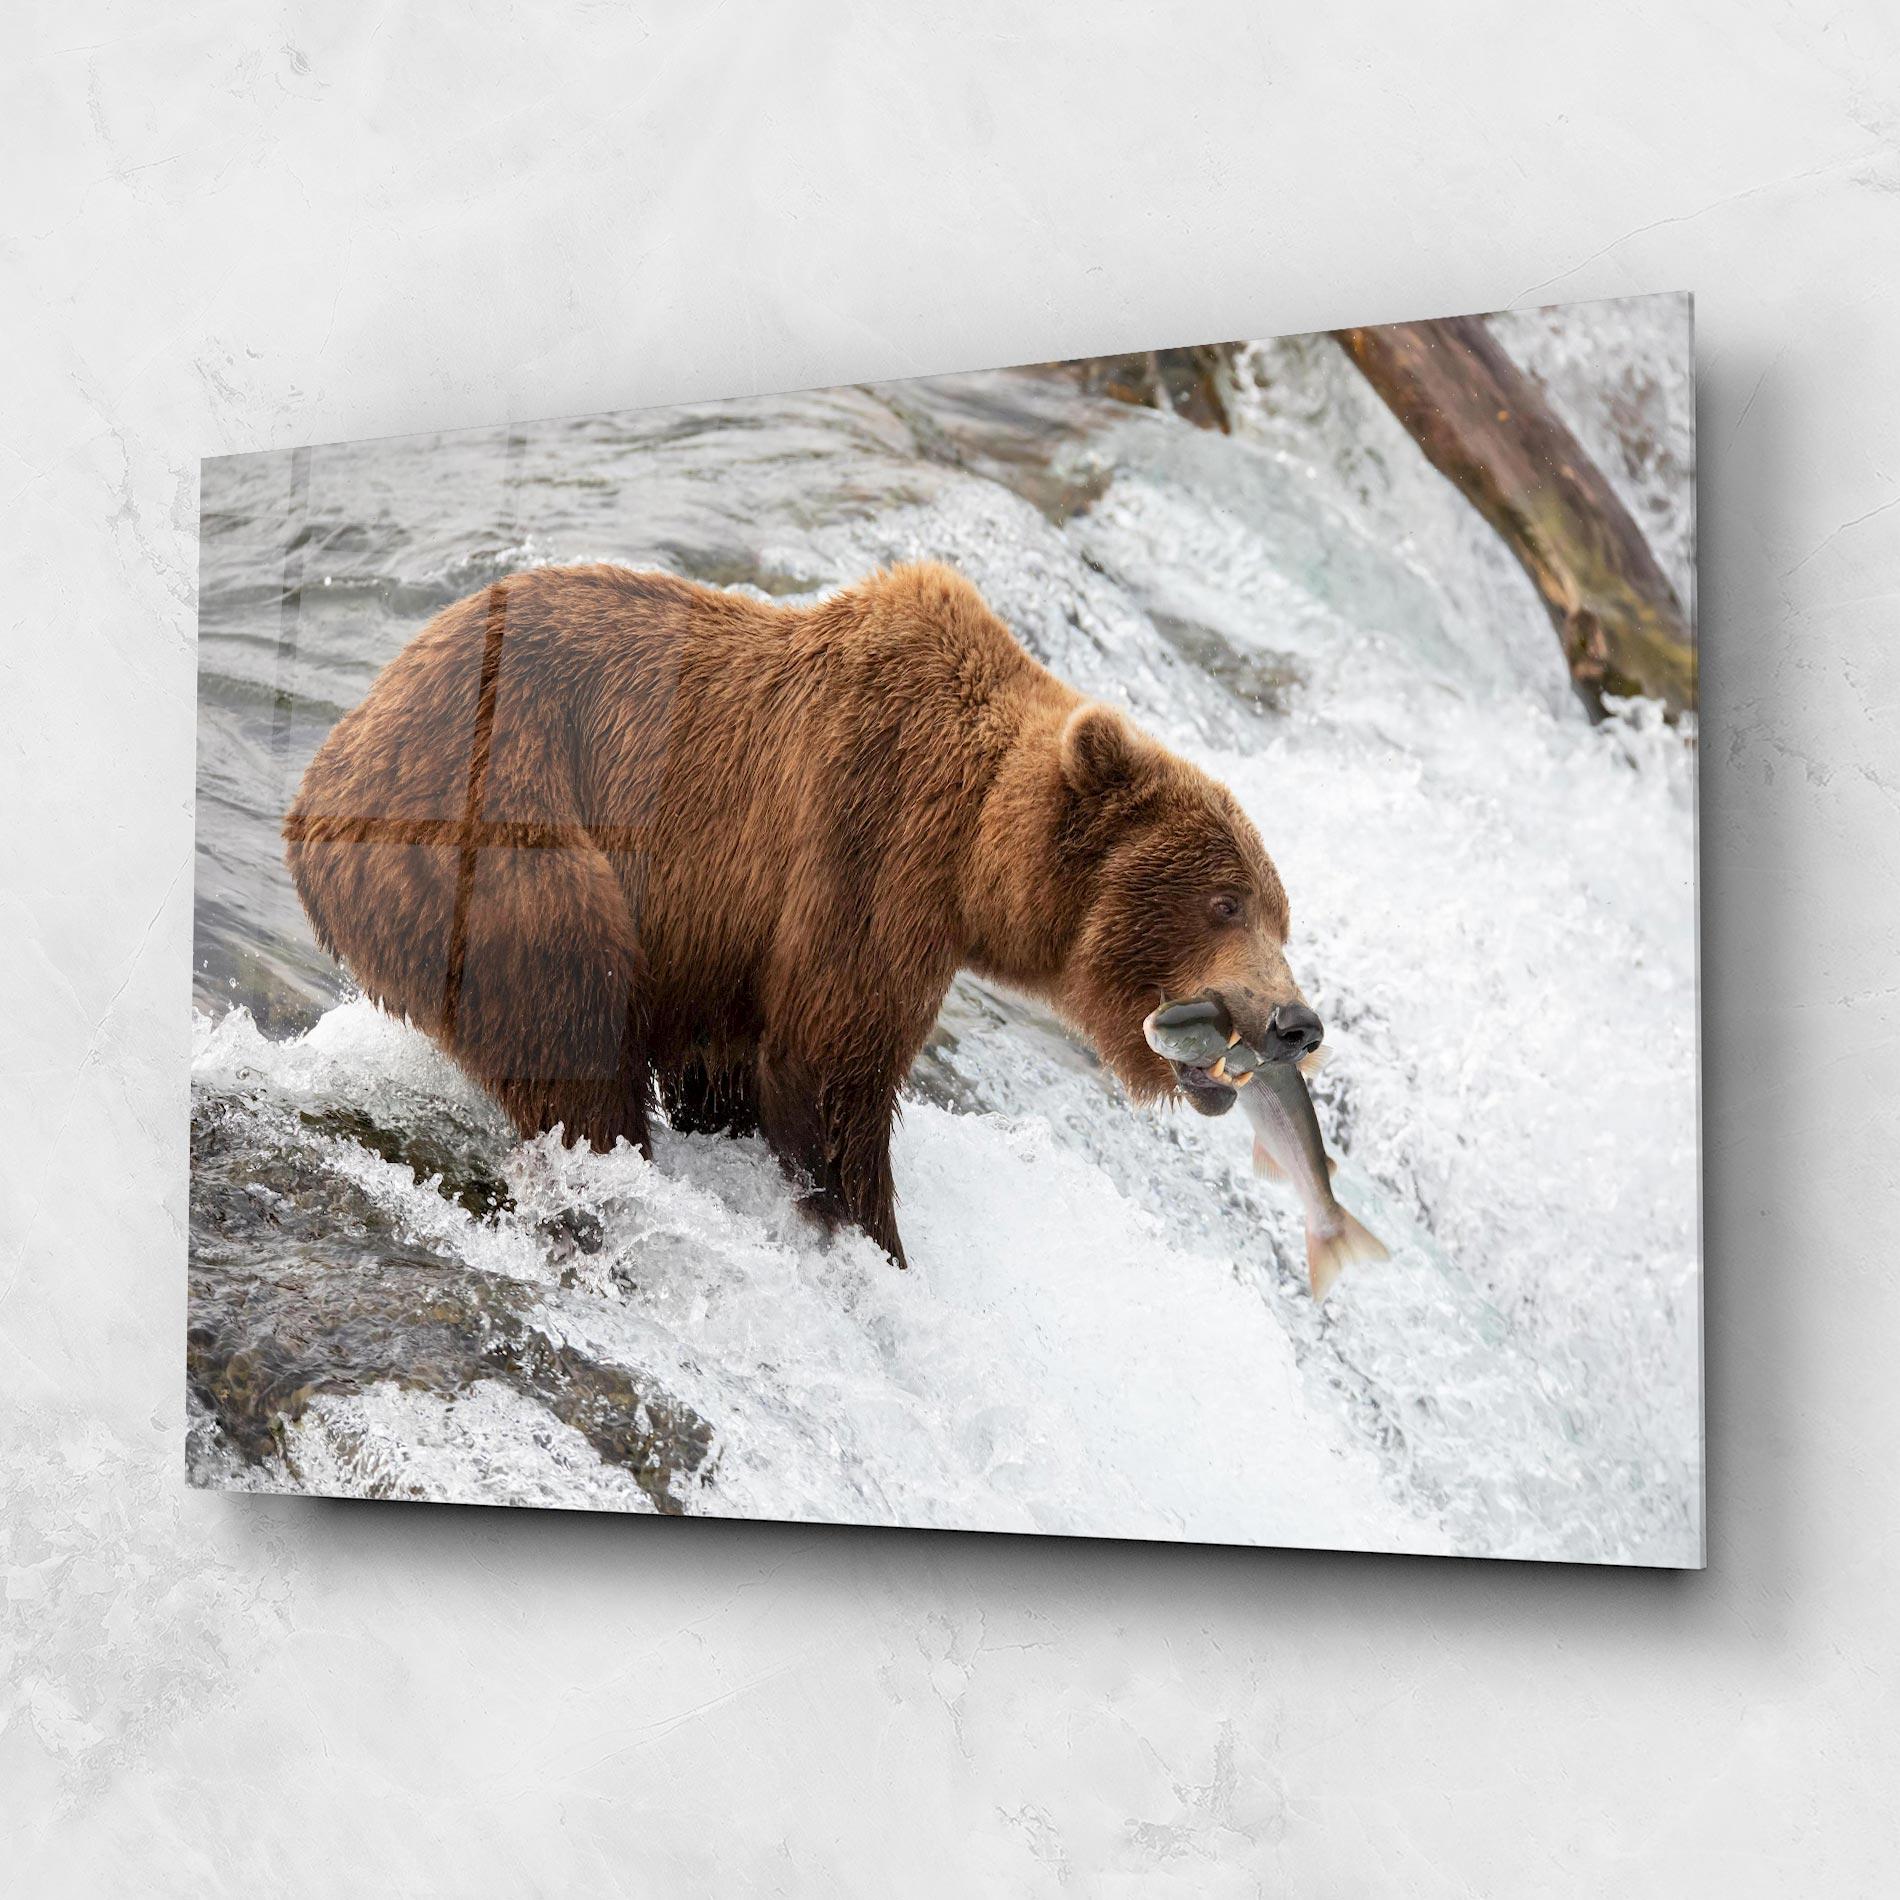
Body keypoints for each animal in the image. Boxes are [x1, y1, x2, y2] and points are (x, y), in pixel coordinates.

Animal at [283, 561, 1322, 1268]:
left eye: (1281, 916)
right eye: (1225, 901)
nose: (1296, 1022)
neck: (974, 851)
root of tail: (334, 755)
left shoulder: (724, 944)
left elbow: (732, 1066)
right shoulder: (867, 846)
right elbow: (830, 1069)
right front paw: (875, 1241)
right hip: (496, 833)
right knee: (568, 1009)